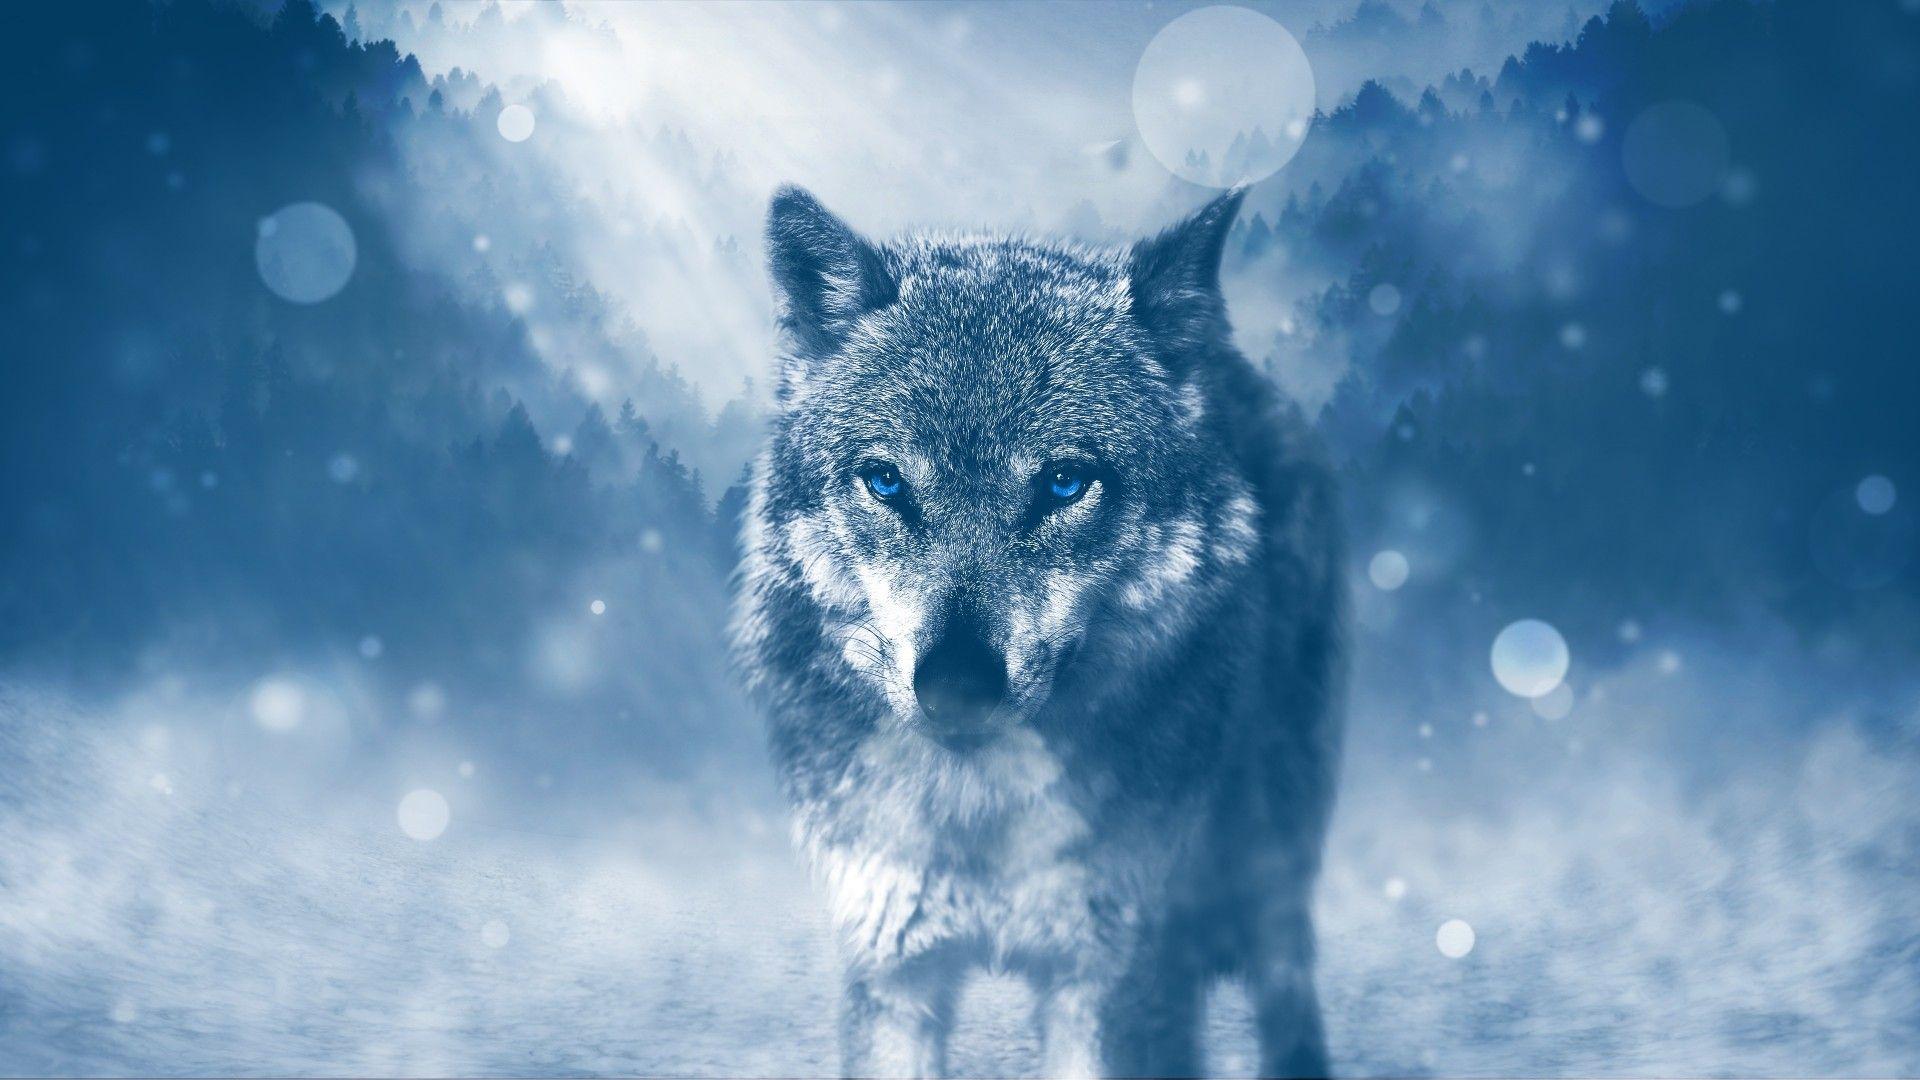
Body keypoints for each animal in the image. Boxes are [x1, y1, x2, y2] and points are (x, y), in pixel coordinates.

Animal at [730, 183, 1346, 1079]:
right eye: (886, 481)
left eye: (1063, 483)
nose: (955, 685)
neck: (979, 813)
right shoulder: (892, 967)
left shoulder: (1110, 977)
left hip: (1268, 852)